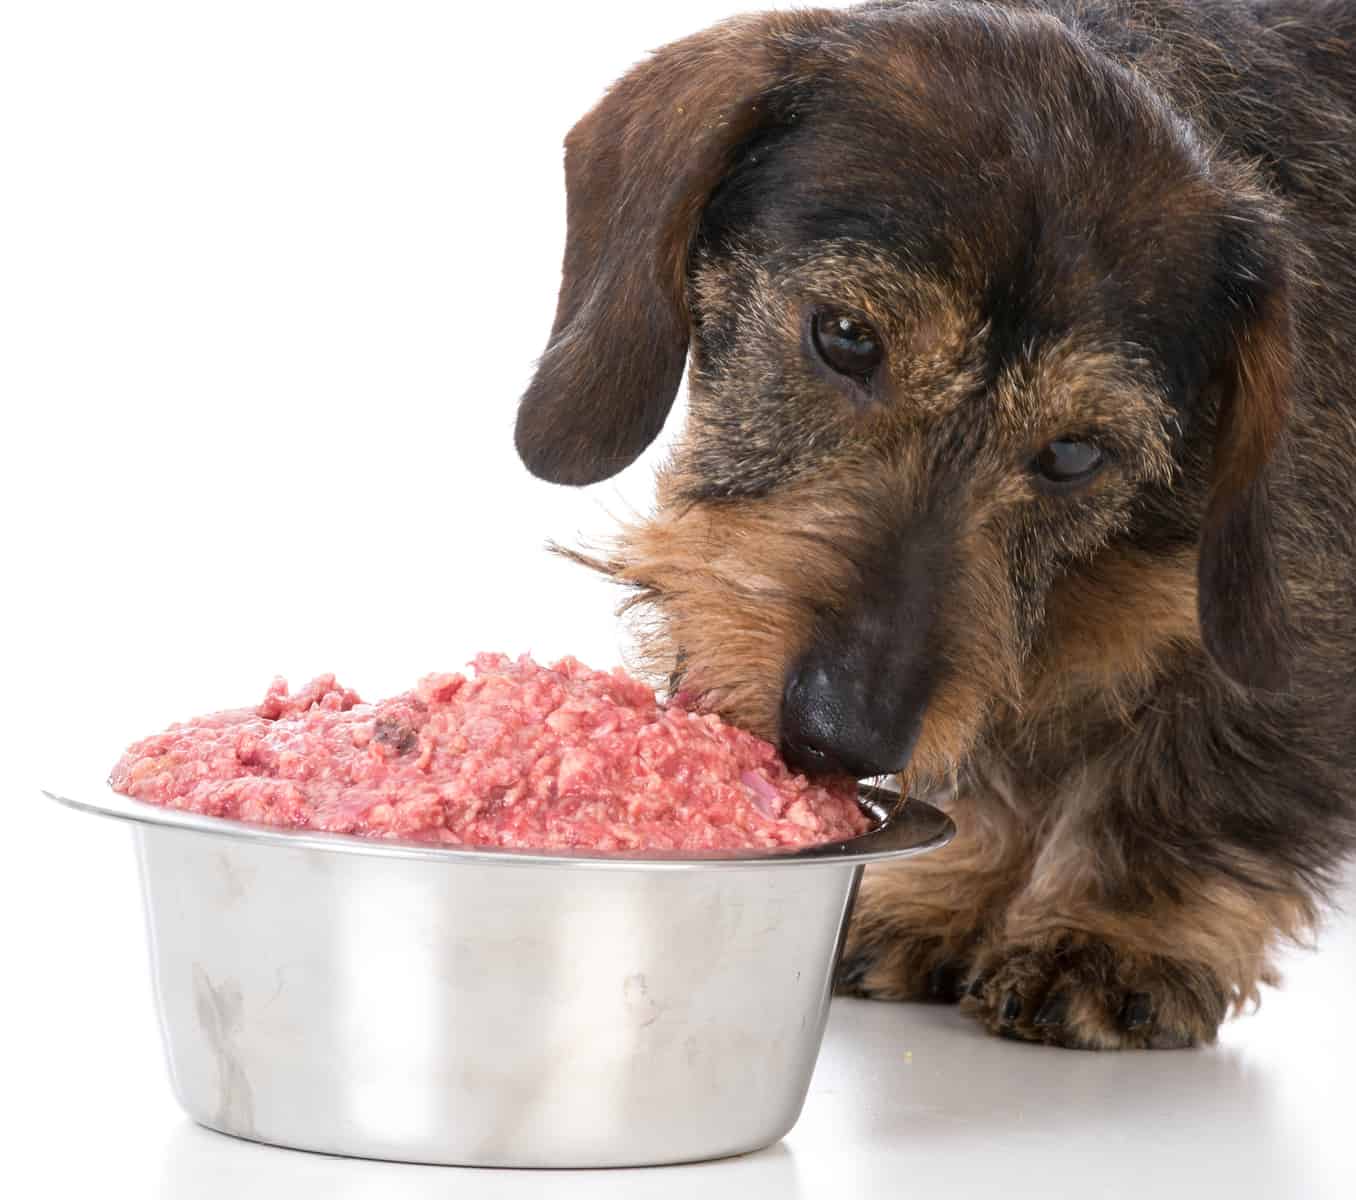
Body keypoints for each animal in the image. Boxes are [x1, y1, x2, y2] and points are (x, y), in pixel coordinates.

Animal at [509, 0, 1356, 1046]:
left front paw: (1111, 931)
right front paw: (951, 889)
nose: (840, 738)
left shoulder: (1293, 611)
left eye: (1074, 453)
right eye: (845, 336)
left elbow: (1207, 770)